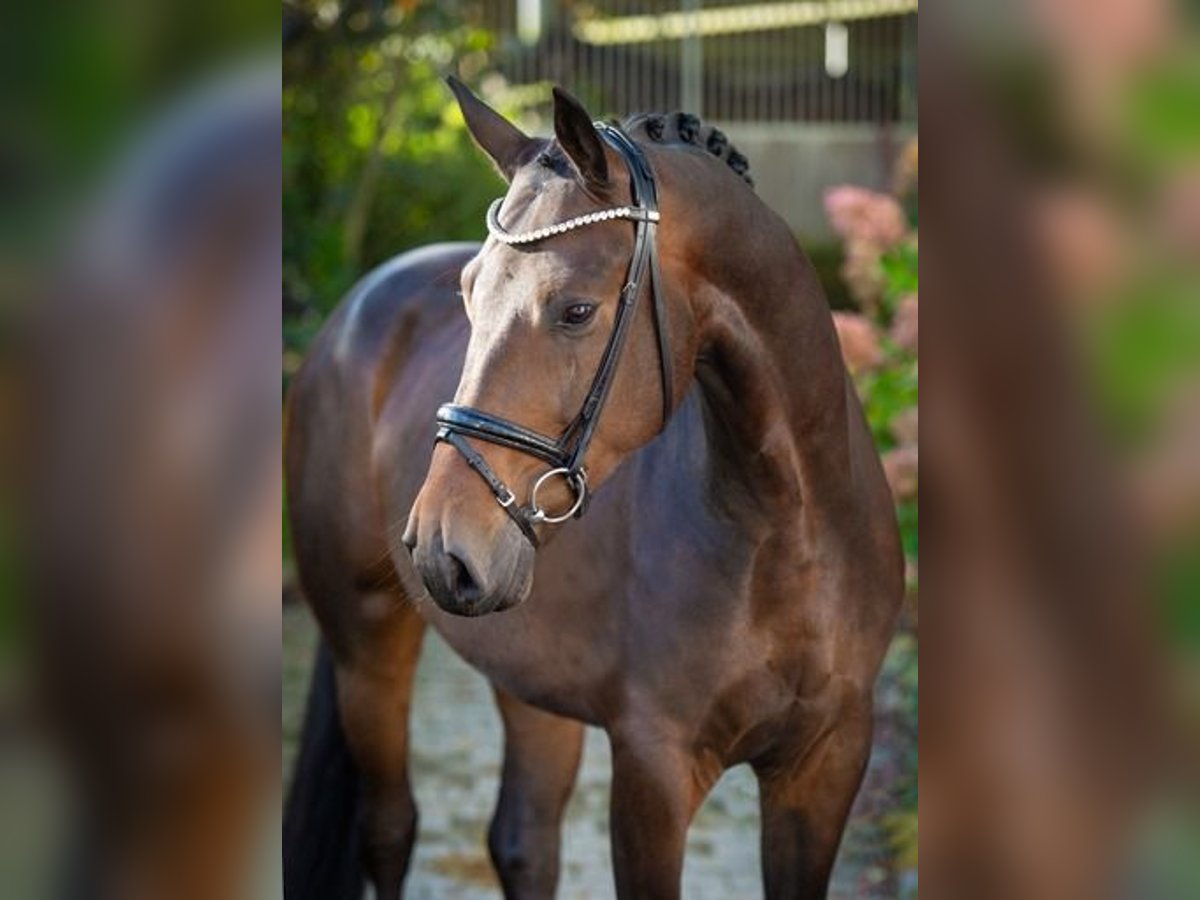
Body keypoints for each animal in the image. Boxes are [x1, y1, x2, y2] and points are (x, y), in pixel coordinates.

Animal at [283, 79, 902, 900]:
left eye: (576, 310)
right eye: (469, 295)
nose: (441, 546)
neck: (789, 530)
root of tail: (356, 308)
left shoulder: (827, 763)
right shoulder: (654, 767)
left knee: (523, 843)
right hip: (367, 646)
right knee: (388, 829)